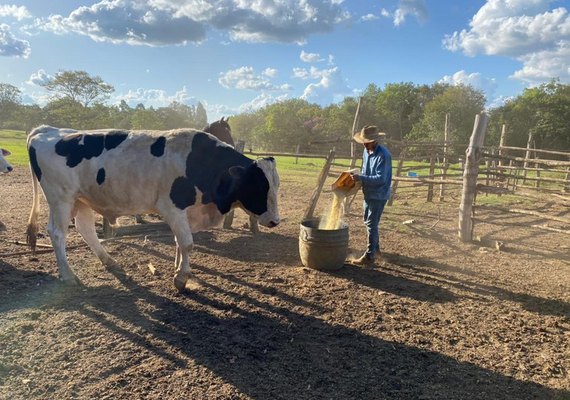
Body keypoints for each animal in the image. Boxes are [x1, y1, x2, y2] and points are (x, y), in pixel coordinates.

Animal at [26, 125, 280, 290]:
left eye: (276, 185)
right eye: (257, 186)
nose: (275, 220)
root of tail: (46, 129)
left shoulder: (185, 213)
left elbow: (179, 242)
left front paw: (178, 268)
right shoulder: (173, 208)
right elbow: (187, 243)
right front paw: (181, 277)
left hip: (82, 199)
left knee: (85, 228)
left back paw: (108, 260)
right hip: (61, 198)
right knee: (57, 233)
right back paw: (68, 275)